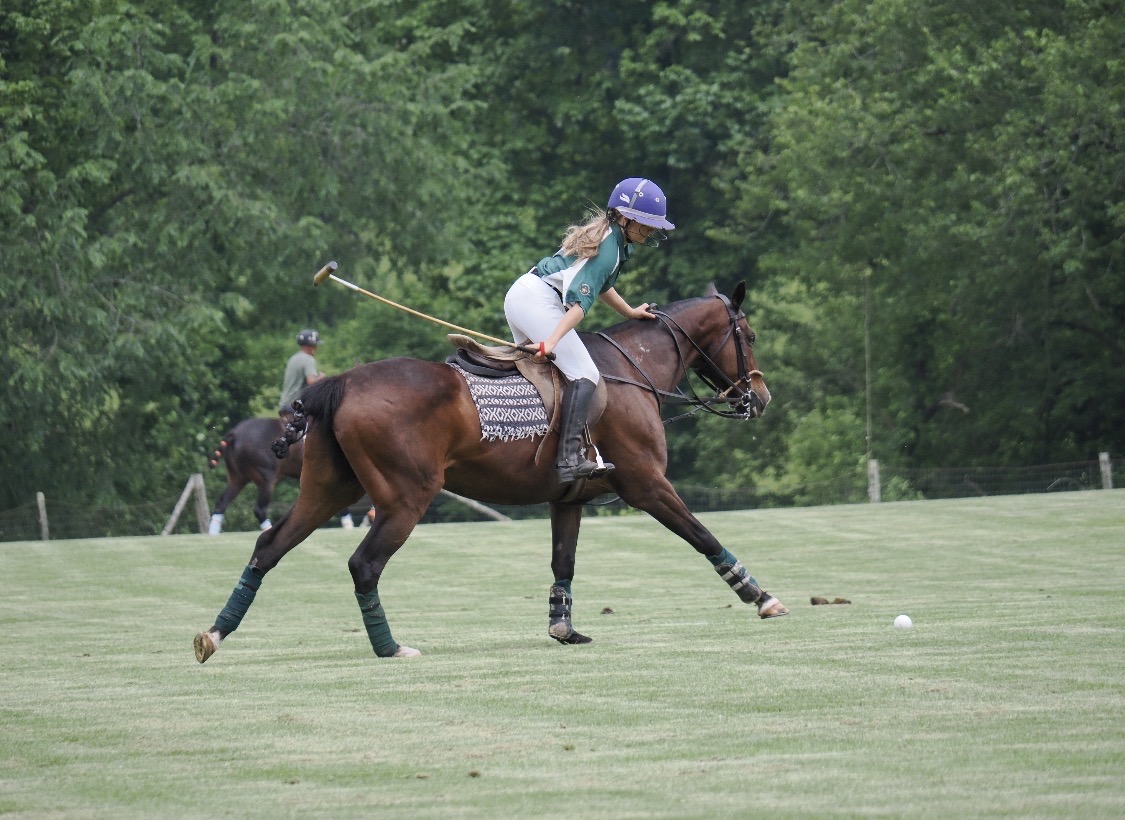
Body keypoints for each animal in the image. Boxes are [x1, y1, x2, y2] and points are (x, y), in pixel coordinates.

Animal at [194, 281, 787, 662]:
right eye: (750, 334)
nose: (759, 397)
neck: (631, 372)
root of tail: (339, 383)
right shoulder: (647, 484)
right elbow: (702, 535)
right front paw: (761, 597)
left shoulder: (568, 499)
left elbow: (563, 562)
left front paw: (564, 628)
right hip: (404, 498)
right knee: (363, 564)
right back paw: (390, 647)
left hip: (326, 489)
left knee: (268, 546)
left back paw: (213, 636)